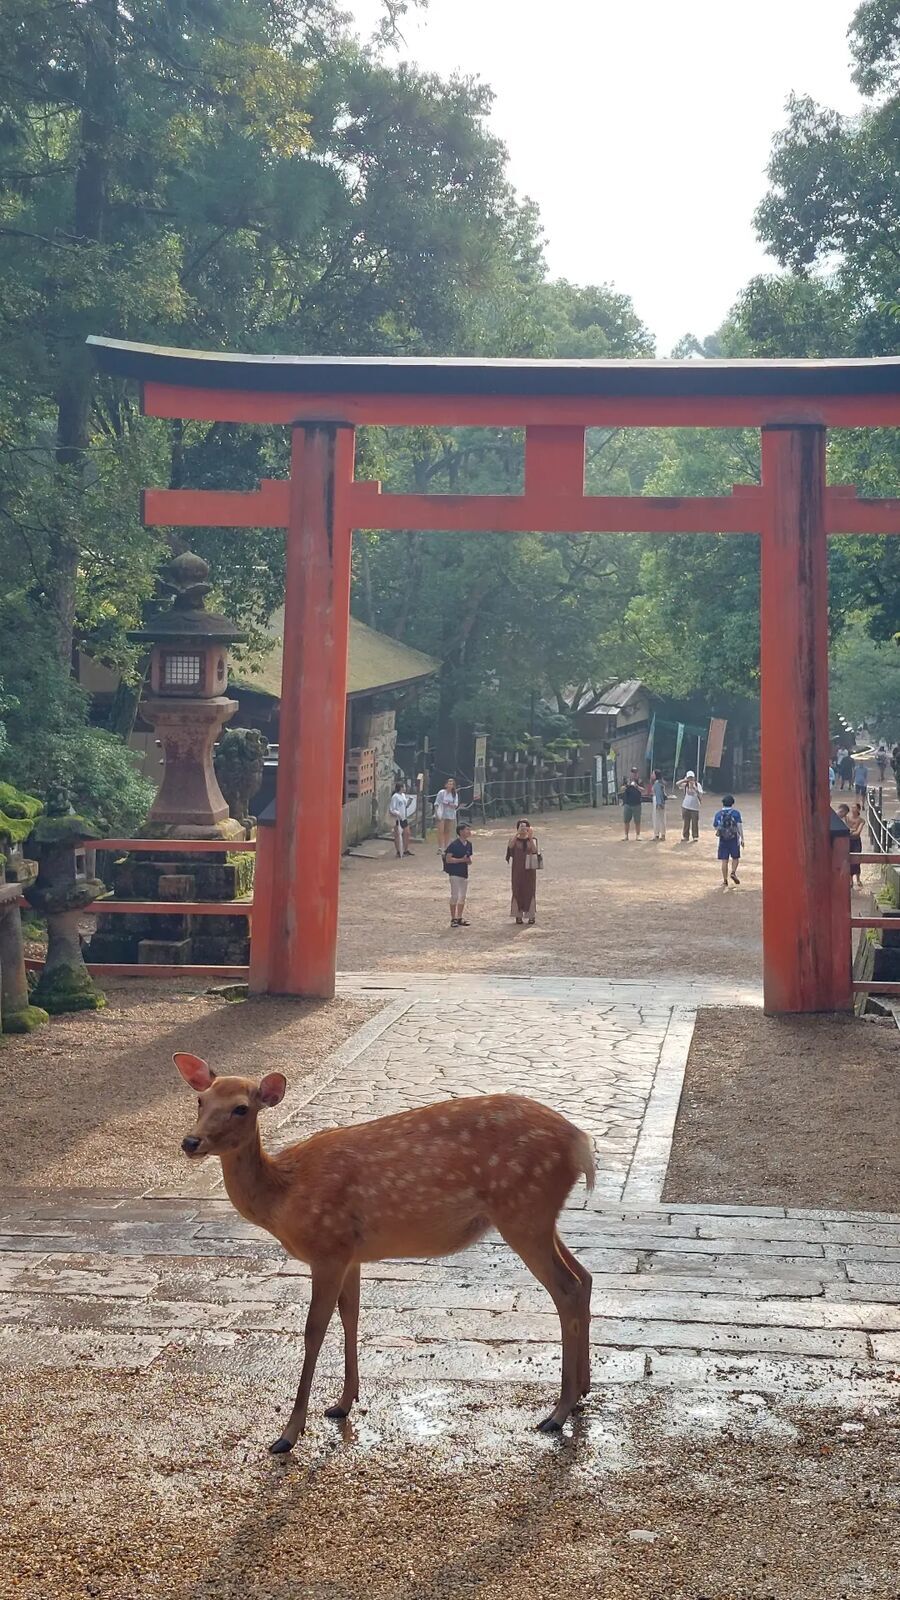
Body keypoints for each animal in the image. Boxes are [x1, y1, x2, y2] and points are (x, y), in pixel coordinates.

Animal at [175, 1052, 595, 1452]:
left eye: (241, 1108)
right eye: (200, 1100)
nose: (191, 1142)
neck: (284, 1195)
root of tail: (581, 1143)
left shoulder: (327, 1248)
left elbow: (313, 1330)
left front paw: (288, 1435)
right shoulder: (350, 1253)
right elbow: (351, 1316)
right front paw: (343, 1402)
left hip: (523, 1210)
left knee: (567, 1288)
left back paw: (557, 1413)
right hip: (538, 1218)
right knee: (585, 1277)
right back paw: (582, 1391)